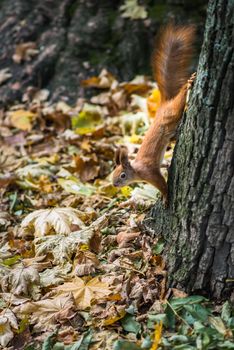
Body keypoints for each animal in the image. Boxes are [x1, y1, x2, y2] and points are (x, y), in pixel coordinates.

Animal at [111, 23, 196, 202]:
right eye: (112, 174)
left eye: (122, 175)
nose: (114, 184)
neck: (136, 170)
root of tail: (163, 104)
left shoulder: (150, 173)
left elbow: (162, 184)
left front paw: (165, 197)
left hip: (173, 111)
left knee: (180, 99)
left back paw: (188, 84)